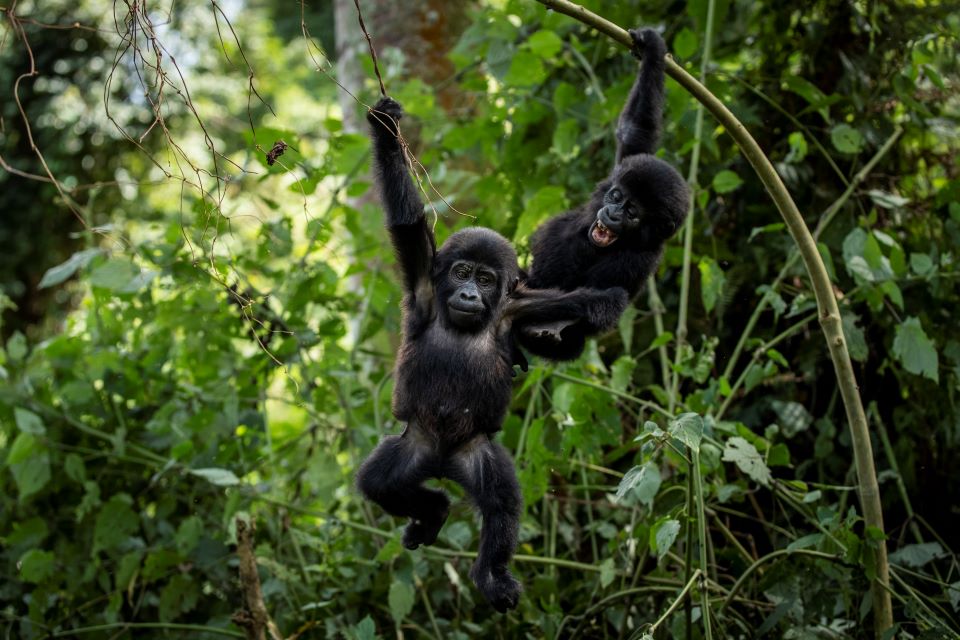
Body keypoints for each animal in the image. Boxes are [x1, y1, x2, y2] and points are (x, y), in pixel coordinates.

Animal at [356, 97, 628, 612]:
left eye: (485, 279)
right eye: (462, 272)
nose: (467, 293)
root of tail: (442, 462)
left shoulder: (517, 310)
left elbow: (572, 304)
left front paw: (609, 296)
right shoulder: (424, 283)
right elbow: (406, 222)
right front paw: (385, 128)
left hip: (476, 452)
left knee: (501, 503)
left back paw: (491, 574)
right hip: (414, 443)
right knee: (380, 483)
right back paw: (433, 511)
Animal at [516, 27, 688, 362]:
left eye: (632, 212)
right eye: (617, 196)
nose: (612, 213)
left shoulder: (637, 259)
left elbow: (595, 299)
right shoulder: (626, 166)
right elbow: (634, 131)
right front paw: (652, 48)